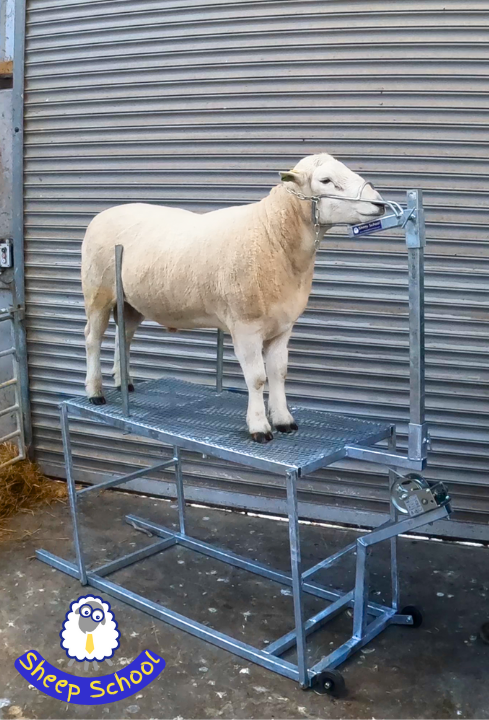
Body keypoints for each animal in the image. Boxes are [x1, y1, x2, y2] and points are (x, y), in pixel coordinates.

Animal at [82, 155, 384, 442]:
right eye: (325, 180)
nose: (379, 204)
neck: (273, 234)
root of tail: (104, 213)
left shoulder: (283, 326)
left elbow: (279, 372)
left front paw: (284, 420)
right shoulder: (245, 325)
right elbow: (257, 378)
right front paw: (260, 427)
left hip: (130, 302)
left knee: (124, 336)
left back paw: (124, 382)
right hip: (97, 291)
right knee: (92, 339)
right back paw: (95, 391)